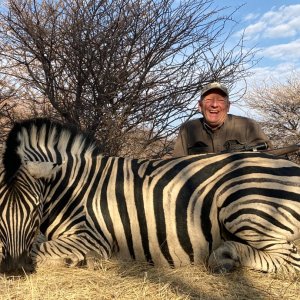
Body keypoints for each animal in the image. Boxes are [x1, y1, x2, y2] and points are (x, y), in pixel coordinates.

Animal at [0, 118, 300, 274]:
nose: (14, 269)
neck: (72, 190)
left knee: (290, 260)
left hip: (244, 206)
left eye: (36, 208)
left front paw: (75, 260)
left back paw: (226, 256)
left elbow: (40, 247)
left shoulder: (94, 239)